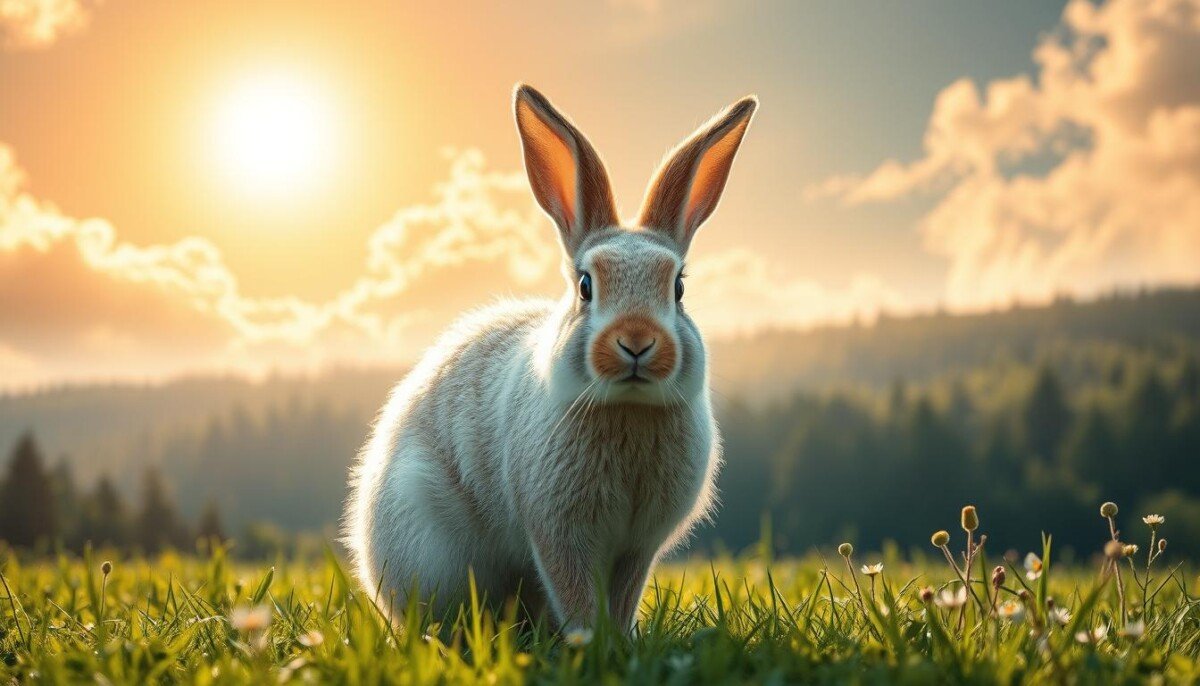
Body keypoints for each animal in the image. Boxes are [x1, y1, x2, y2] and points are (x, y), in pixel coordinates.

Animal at [344, 83, 757, 635]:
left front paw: (618, 638)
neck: (627, 406)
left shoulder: (637, 547)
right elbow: (574, 589)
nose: (636, 342)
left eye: (679, 288)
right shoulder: (558, 531)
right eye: (585, 286)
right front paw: (591, 639)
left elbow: (623, 593)